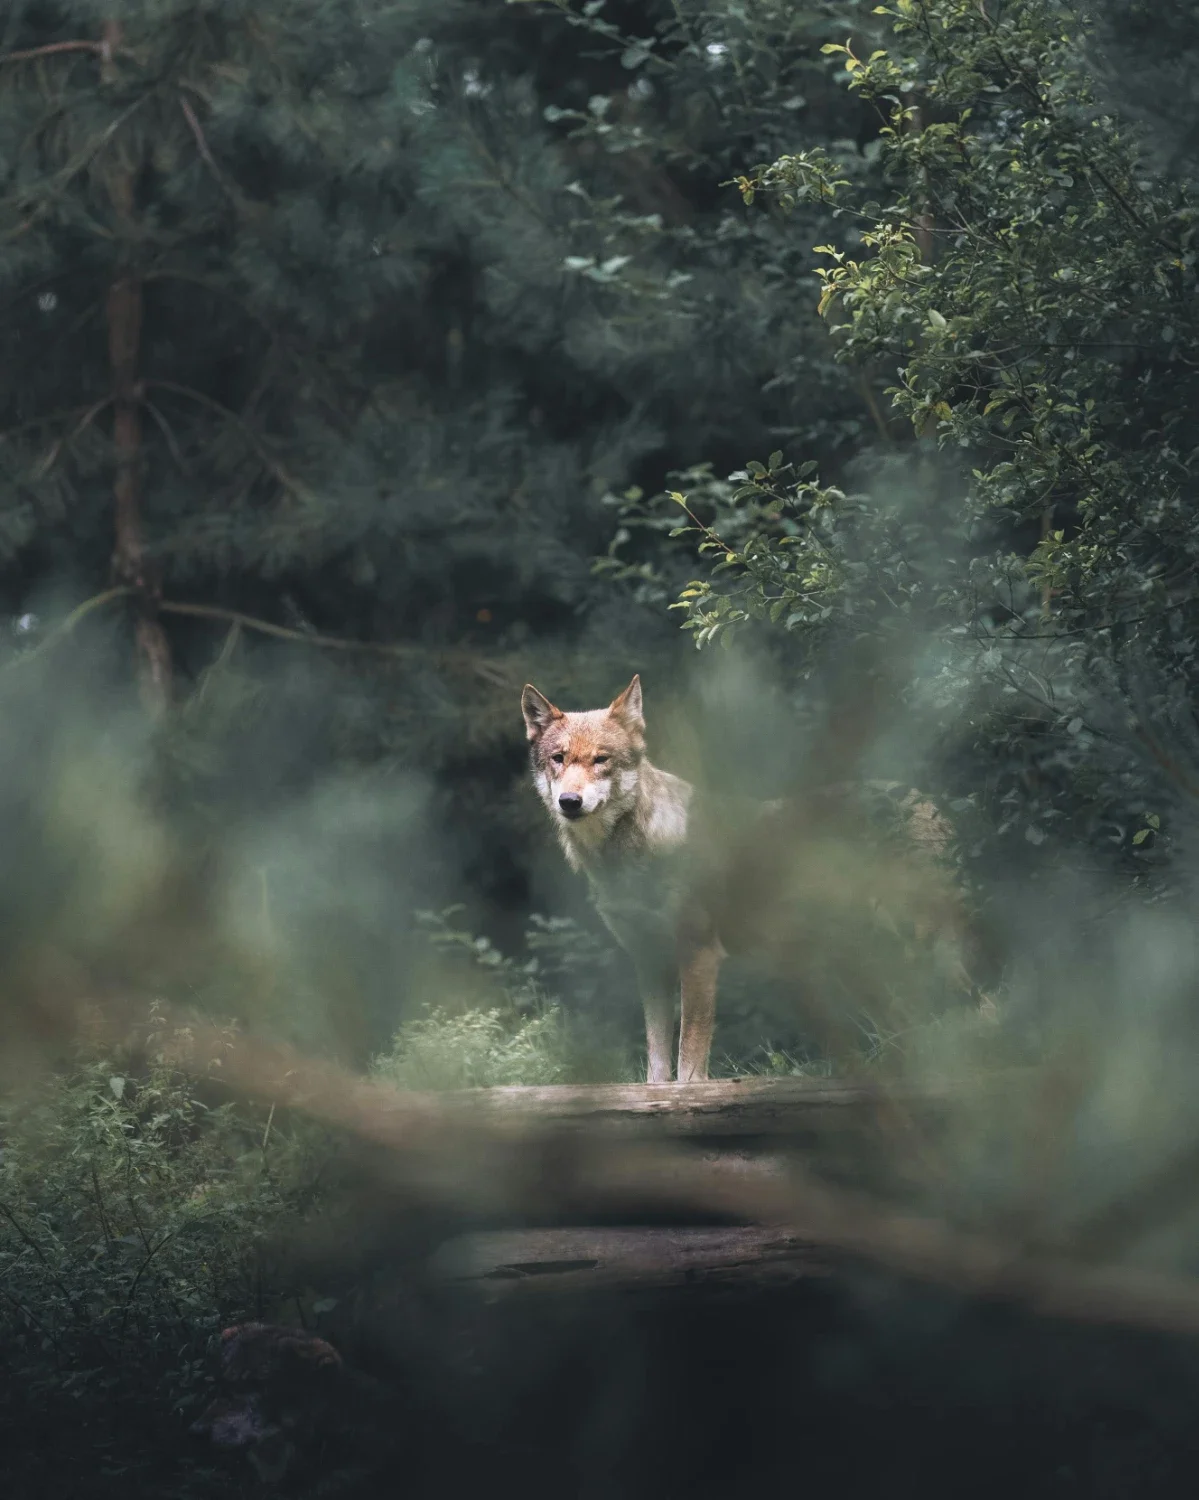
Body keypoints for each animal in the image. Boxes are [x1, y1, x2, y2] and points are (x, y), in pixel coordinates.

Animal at [521, 675, 984, 1084]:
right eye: (559, 758)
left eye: (601, 759)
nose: (570, 802)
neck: (625, 859)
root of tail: (934, 803)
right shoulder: (649, 962)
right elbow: (656, 1065)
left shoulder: (699, 954)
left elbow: (689, 1064)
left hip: (920, 949)